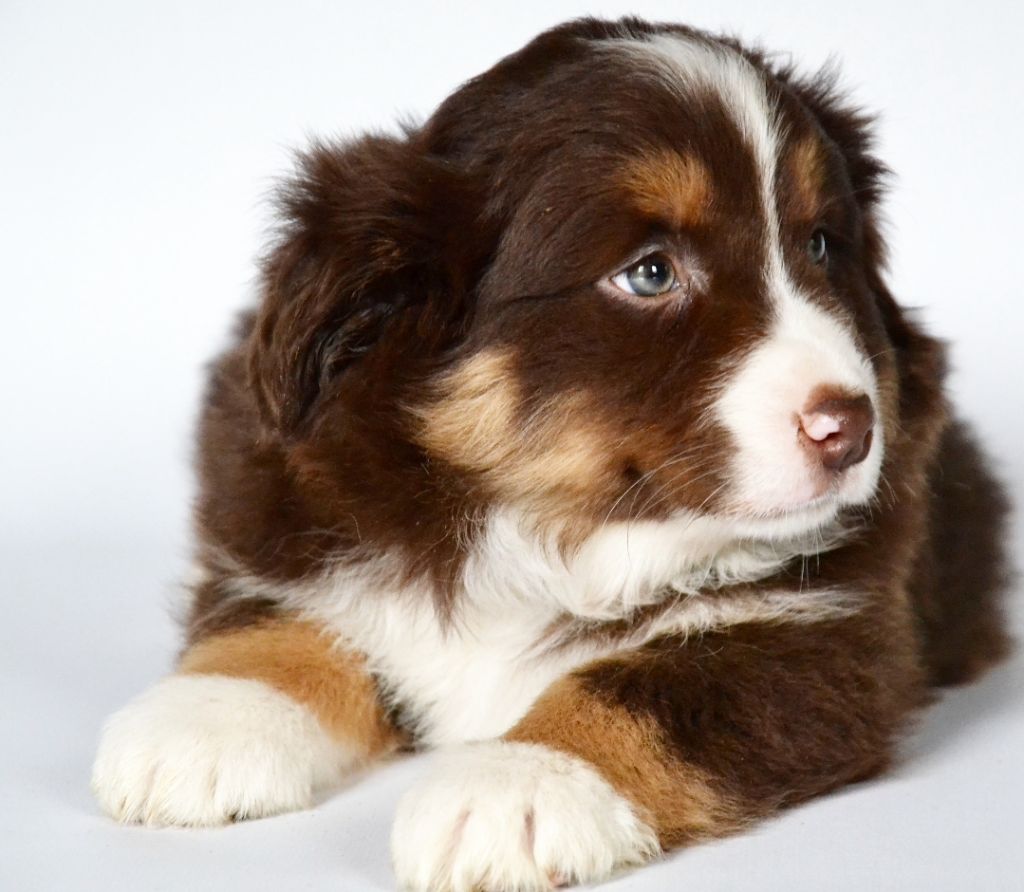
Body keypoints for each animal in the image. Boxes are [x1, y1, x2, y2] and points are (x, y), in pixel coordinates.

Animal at [92, 16, 1011, 890]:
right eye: (650, 274)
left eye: (821, 245)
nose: (850, 428)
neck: (550, 524)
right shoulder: (288, 513)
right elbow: (283, 615)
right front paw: (208, 714)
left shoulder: (831, 628)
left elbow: (645, 686)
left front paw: (516, 785)